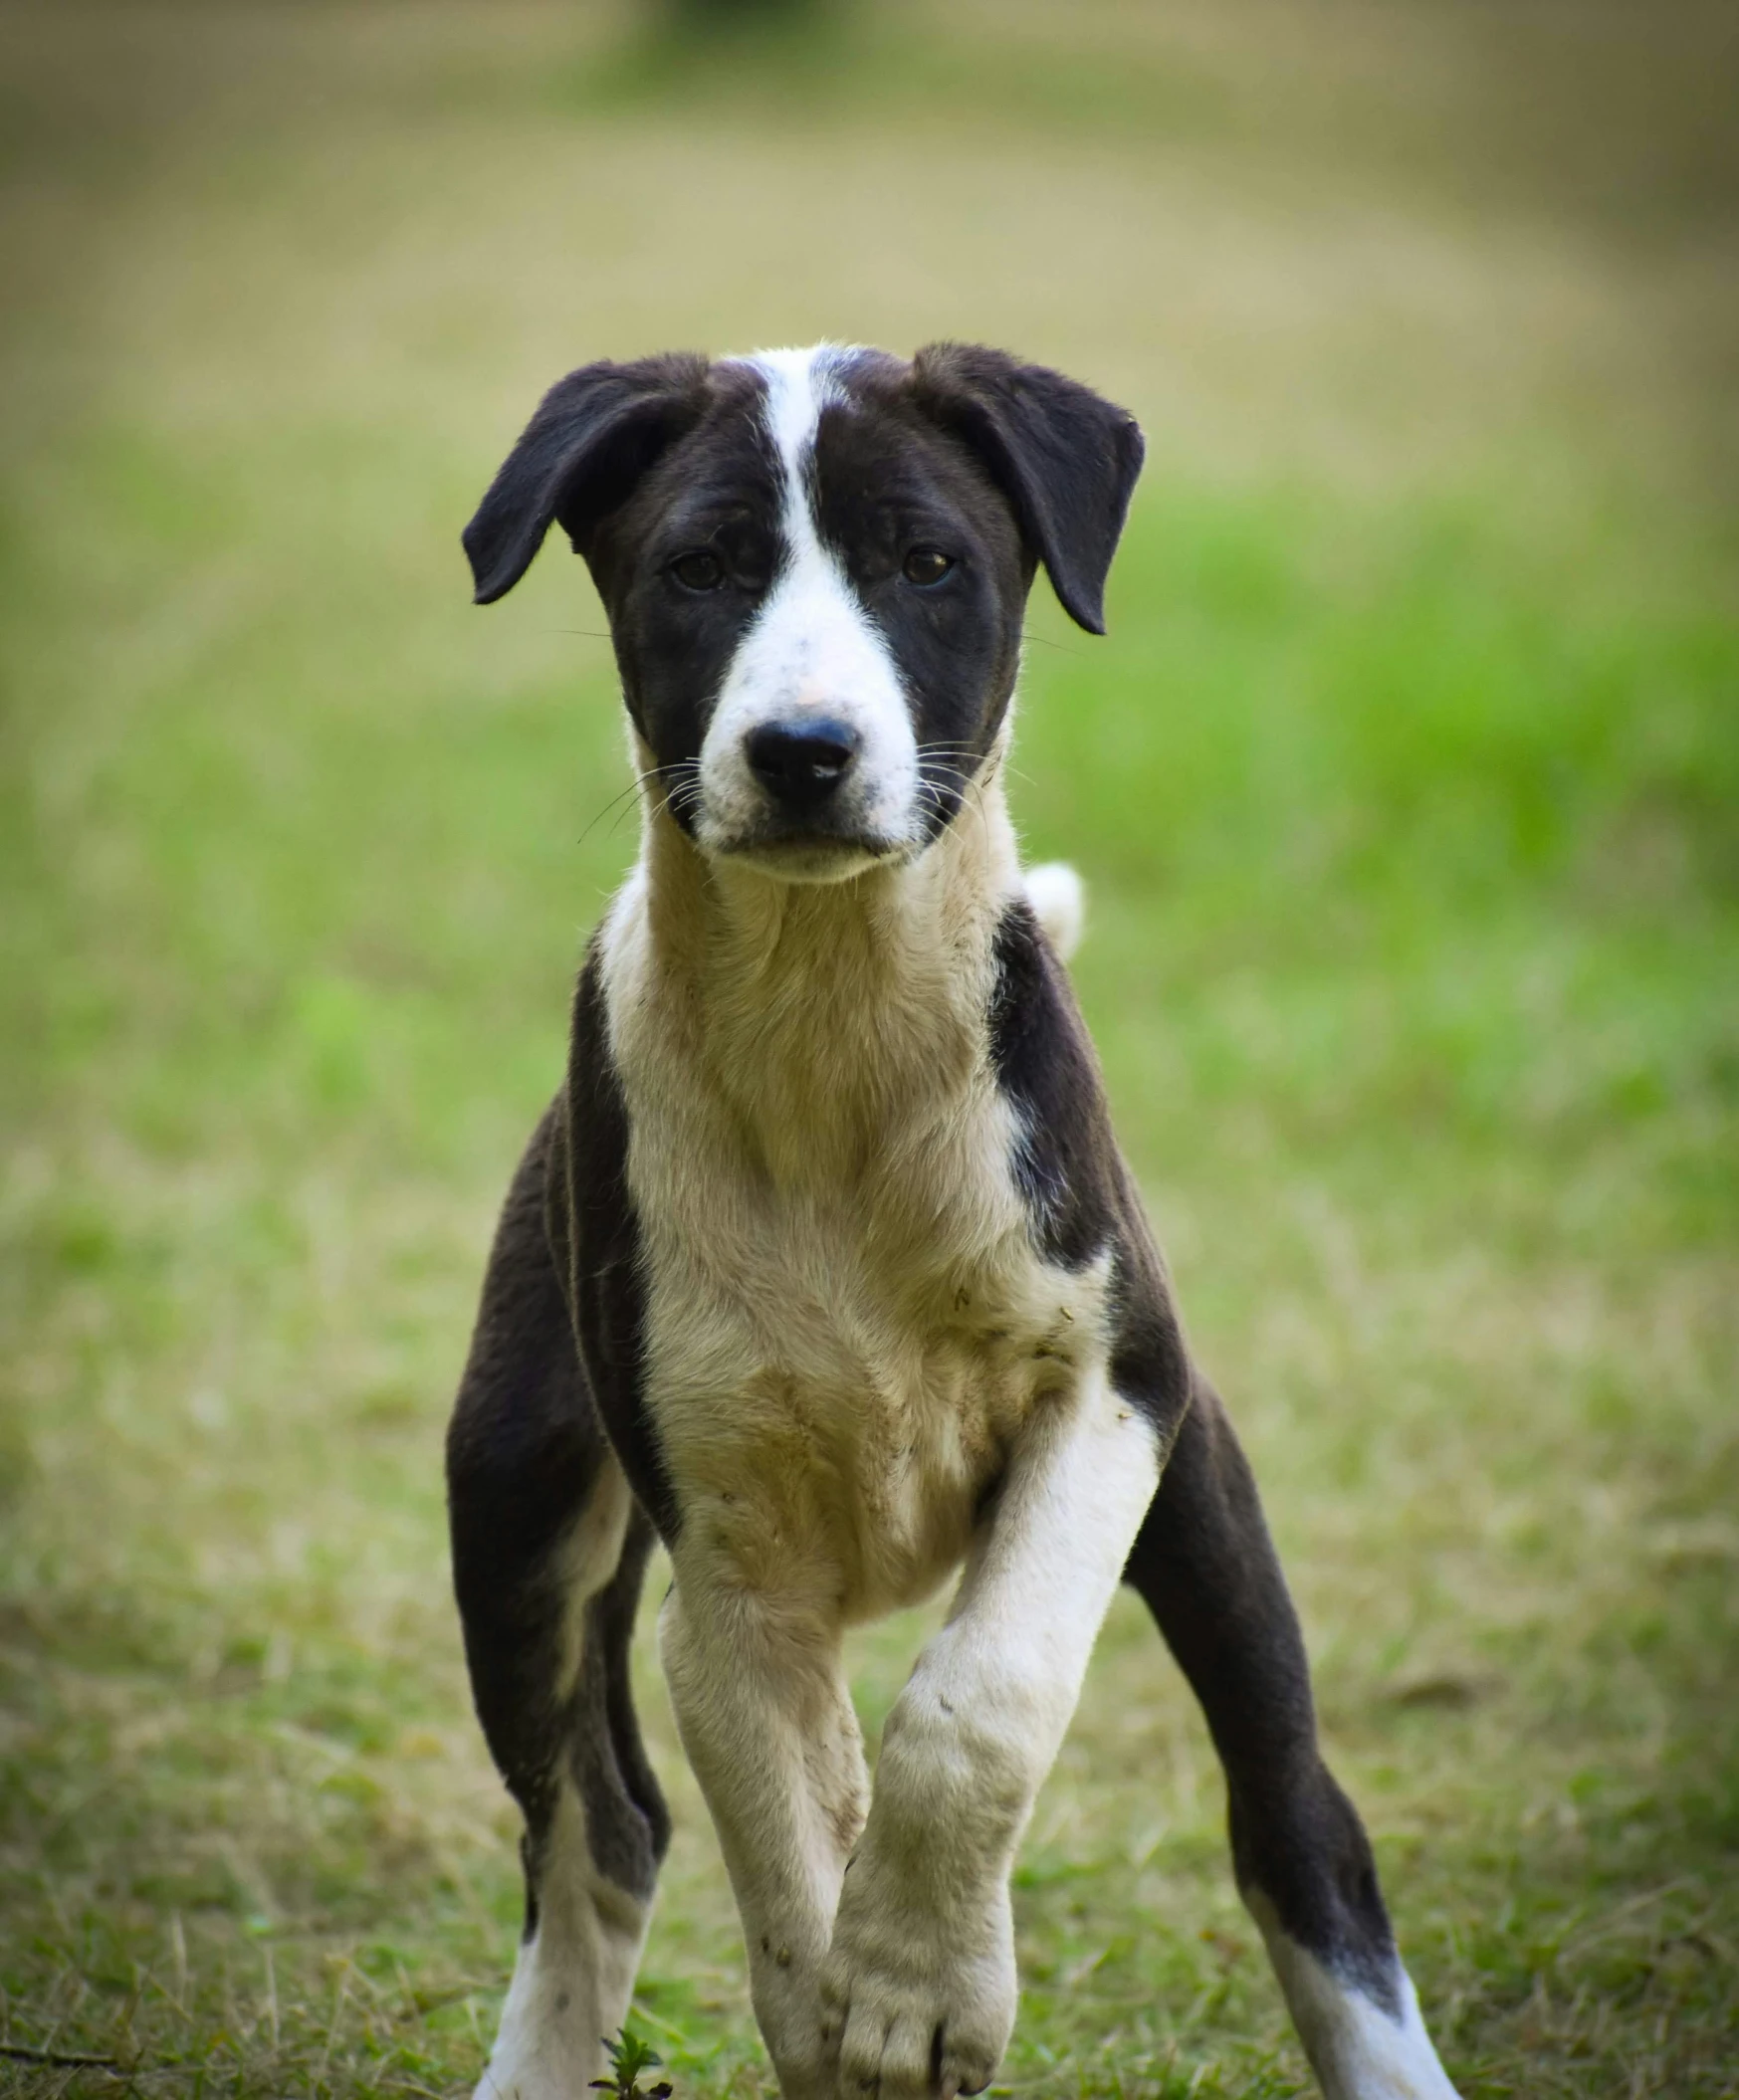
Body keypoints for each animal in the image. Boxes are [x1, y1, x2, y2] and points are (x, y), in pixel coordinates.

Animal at [441, 344, 1461, 2100]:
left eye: (926, 562)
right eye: (696, 568)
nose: (800, 747)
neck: (833, 1024)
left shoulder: (1113, 1390)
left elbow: (980, 1698)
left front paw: (917, 1979)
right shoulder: (725, 1544)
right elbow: (771, 1816)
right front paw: (842, 1984)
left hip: (1203, 1494)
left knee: (1295, 1816)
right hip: (511, 1486)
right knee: (593, 1829)